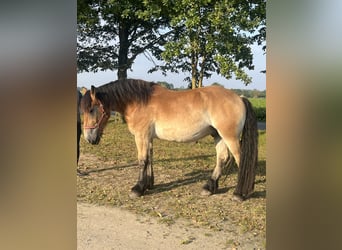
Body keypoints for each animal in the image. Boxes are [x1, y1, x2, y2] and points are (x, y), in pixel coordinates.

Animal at [79, 79, 256, 200]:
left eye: (92, 109)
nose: (89, 138)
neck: (138, 102)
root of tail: (239, 98)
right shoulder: (148, 138)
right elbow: (149, 159)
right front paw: (148, 185)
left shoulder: (141, 136)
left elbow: (142, 160)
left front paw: (137, 189)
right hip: (218, 135)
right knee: (222, 158)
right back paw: (209, 187)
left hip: (229, 137)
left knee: (241, 159)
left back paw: (240, 193)